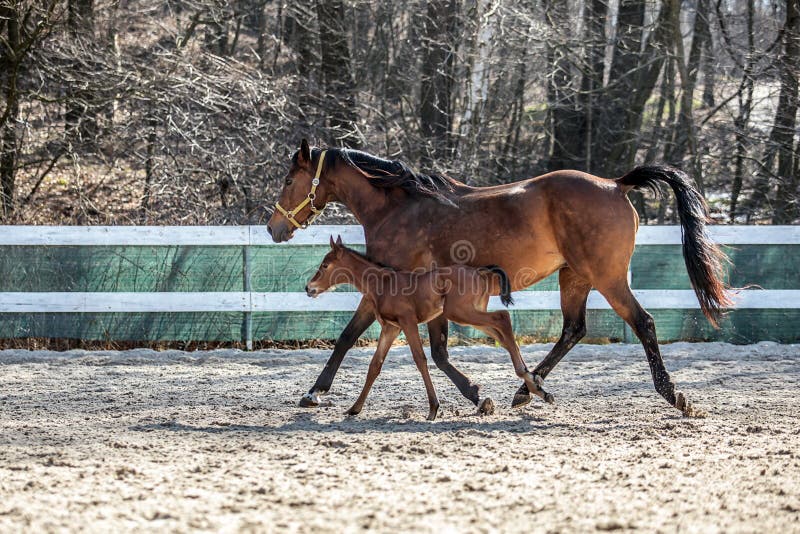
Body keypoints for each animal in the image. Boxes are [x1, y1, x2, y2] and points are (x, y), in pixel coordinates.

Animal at [306, 237, 552, 420]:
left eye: (325, 265)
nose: (309, 288)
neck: (384, 283)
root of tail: (480, 271)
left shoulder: (408, 322)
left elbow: (420, 359)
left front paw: (434, 408)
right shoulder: (390, 328)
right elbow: (375, 365)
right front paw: (354, 408)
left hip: (462, 314)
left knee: (503, 318)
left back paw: (531, 381)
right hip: (470, 315)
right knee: (503, 333)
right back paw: (535, 384)